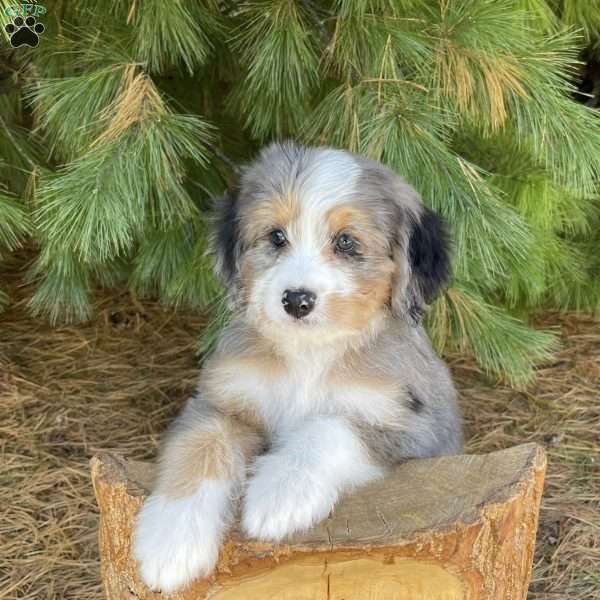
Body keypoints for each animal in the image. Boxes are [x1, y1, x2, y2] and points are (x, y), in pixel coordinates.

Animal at [135, 141, 464, 592]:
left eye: (346, 242)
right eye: (276, 236)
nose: (296, 300)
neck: (308, 353)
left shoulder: (414, 426)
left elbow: (327, 427)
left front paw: (281, 494)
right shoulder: (221, 401)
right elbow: (201, 447)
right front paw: (170, 542)